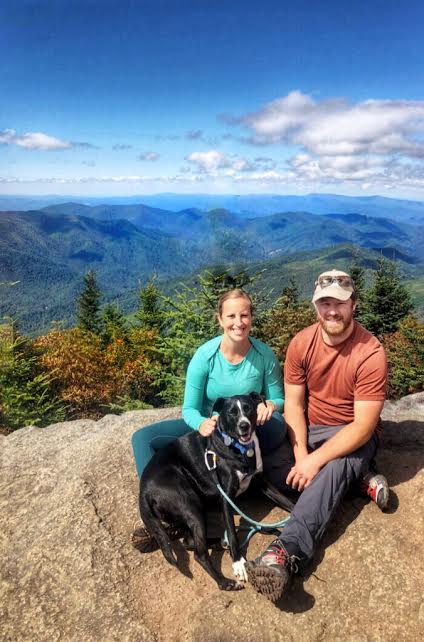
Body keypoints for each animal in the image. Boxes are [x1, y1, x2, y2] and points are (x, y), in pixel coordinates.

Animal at [137, 390, 294, 592]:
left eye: (248, 408)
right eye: (231, 412)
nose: (244, 426)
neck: (239, 448)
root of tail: (143, 489)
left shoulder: (262, 482)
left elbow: (289, 502)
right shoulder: (226, 499)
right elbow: (233, 535)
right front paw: (238, 563)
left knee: (188, 540)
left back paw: (220, 542)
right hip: (191, 506)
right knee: (199, 553)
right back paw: (224, 581)